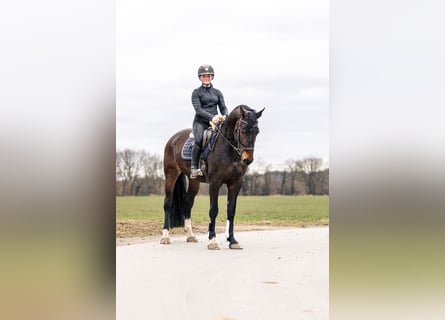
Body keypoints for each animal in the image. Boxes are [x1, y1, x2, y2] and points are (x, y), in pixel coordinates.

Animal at [160, 105, 264, 250]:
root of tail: (173, 139)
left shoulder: (235, 183)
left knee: (188, 203)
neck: (229, 150)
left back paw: (190, 235)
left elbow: (231, 211)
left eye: (257, 131)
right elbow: (213, 210)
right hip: (171, 174)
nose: (247, 159)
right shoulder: (215, 182)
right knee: (168, 203)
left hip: (194, 181)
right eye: (243, 130)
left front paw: (232, 240)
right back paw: (165, 236)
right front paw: (212, 241)